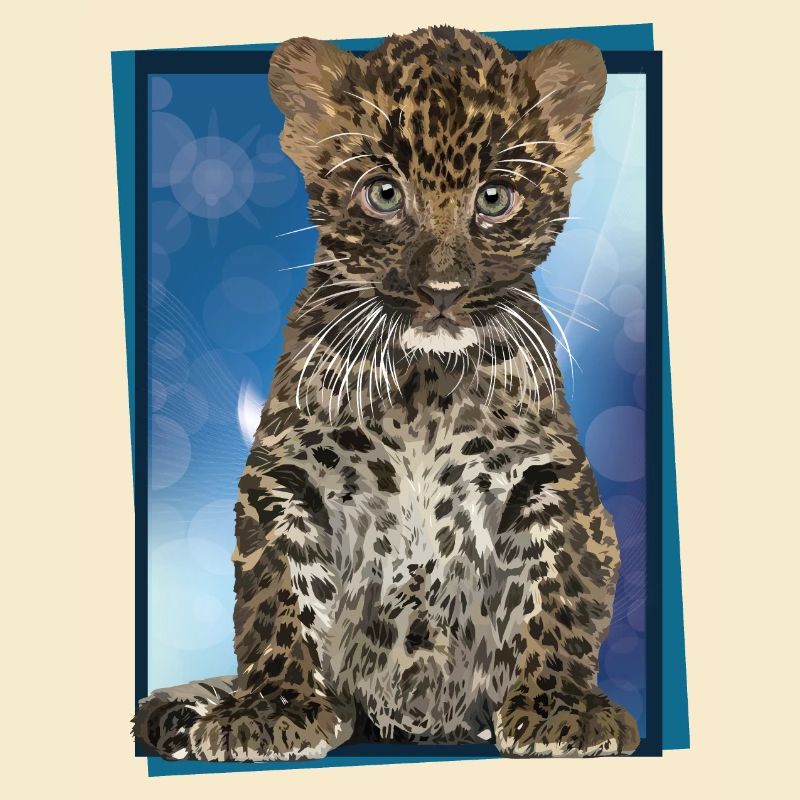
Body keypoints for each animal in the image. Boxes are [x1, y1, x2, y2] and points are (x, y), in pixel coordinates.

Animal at [134, 25, 640, 761]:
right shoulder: (287, 476)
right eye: (383, 193)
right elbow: (278, 593)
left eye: (495, 198)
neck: (424, 384)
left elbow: (560, 588)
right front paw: (270, 709)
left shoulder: (548, 477)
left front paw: (561, 709)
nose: (442, 290)